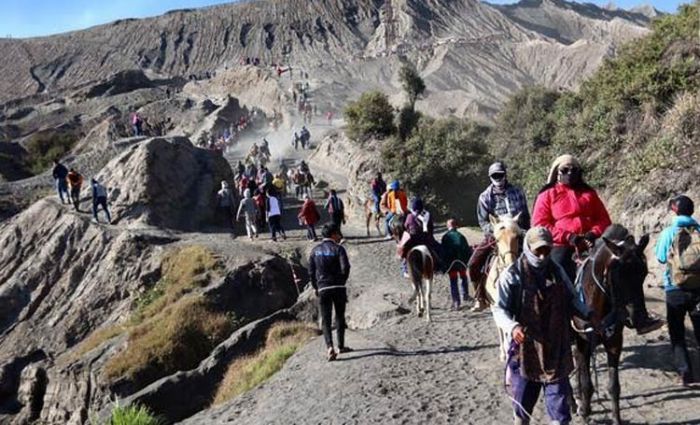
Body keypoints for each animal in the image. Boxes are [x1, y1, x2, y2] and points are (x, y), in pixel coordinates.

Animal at [484, 214, 524, 360]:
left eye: (517, 236)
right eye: (496, 239)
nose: (510, 264)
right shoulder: (497, 305)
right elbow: (504, 326)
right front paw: (506, 352)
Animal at [576, 224, 652, 422]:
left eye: (644, 273)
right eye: (618, 275)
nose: (638, 317)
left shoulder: (614, 342)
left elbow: (614, 387)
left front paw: (616, 419)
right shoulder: (583, 342)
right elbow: (586, 380)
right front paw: (585, 411)